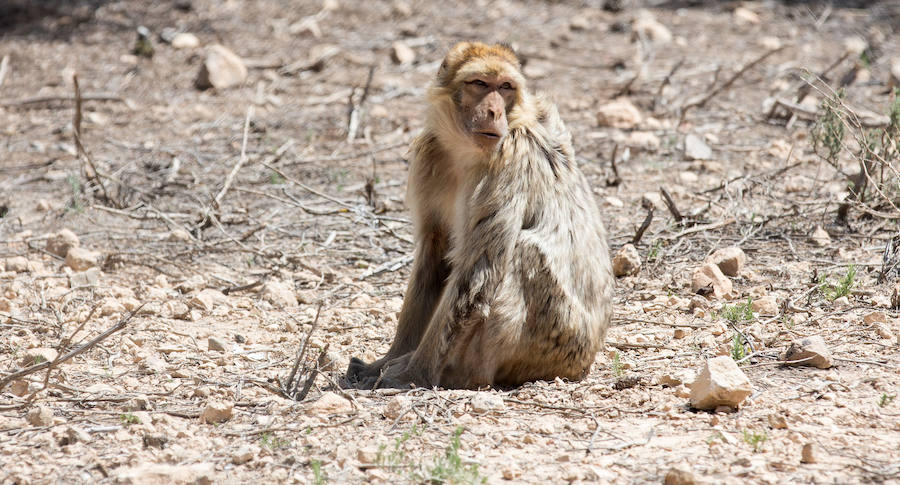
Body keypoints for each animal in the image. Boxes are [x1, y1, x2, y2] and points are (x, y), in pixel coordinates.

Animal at [342, 41, 612, 390]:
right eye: (480, 84)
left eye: (506, 87)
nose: (495, 111)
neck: (463, 151)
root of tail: (585, 360)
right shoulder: (431, 154)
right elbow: (435, 255)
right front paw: (386, 361)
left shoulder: (510, 156)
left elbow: (476, 274)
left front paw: (412, 374)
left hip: (556, 341)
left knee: (523, 251)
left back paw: (460, 375)